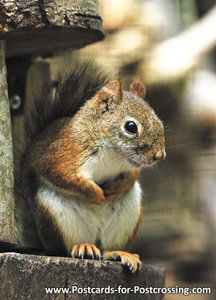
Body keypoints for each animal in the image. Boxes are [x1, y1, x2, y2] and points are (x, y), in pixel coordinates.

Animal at [13, 62, 165, 274]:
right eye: (131, 127)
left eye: (158, 121)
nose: (160, 155)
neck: (113, 155)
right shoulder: (63, 155)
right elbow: (64, 176)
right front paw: (96, 194)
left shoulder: (130, 167)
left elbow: (132, 177)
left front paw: (115, 188)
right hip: (55, 213)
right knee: (66, 249)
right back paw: (83, 247)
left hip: (126, 216)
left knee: (106, 249)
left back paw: (119, 252)